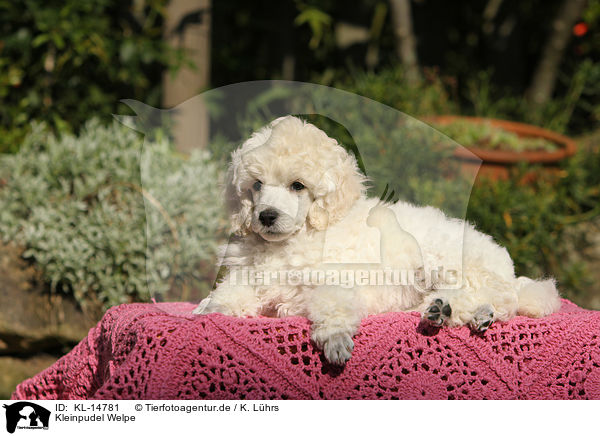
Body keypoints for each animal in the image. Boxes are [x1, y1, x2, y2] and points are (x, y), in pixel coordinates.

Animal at [193, 116, 564, 364]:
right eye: (256, 185)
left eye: (298, 186)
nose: (267, 216)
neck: (295, 239)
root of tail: (508, 269)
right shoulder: (252, 277)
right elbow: (229, 295)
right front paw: (208, 308)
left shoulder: (338, 280)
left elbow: (332, 303)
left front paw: (336, 339)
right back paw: (445, 310)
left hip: (445, 258)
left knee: (501, 299)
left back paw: (452, 309)